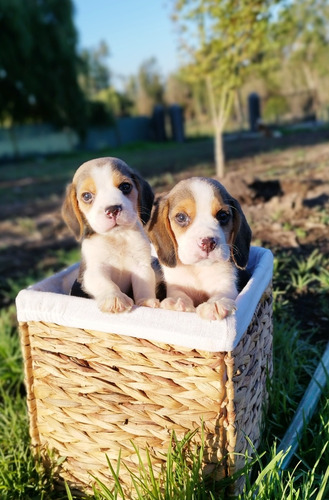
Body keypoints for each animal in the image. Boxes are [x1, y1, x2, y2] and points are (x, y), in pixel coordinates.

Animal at [62, 157, 160, 312]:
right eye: (87, 196)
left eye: (125, 186)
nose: (113, 209)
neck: (117, 237)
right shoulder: (94, 271)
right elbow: (106, 283)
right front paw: (114, 298)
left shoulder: (142, 266)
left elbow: (144, 285)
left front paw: (146, 302)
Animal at [147, 178, 251, 322]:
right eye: (181, 217)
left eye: (223, 215)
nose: (208, 242)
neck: (198, 268)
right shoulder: (175, 284)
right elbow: (179, 293)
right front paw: (177, 303)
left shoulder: (227, 284)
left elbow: (222, 292)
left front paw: (214, 304)